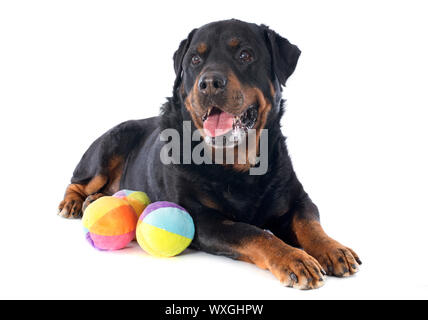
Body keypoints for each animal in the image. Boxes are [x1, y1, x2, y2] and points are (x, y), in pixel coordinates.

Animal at [58, 20, 362, 290]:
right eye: (195, 59)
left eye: (245, 55)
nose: (210, 83)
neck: (238, 165)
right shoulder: (202, 219)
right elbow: (253, 232)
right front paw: (294, 258)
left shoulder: (298, 197)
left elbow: (309, 222)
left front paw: (333, 248)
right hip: (108, 148)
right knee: (78, 181)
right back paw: (75, 203)